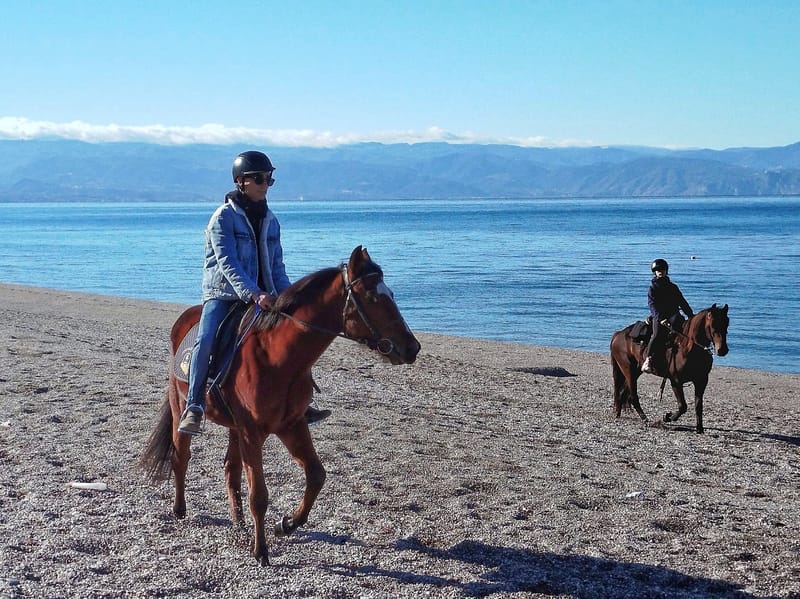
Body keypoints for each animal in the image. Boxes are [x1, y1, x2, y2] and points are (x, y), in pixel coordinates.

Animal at [140, 246, 421, 564]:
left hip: (235, 428)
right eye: (373, 298)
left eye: (392, 295)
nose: (412, 347)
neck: (278, 358)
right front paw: (261, 550)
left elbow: (316, 475)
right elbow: (259, 496)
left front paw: (287, 524)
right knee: (181, 457)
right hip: (181, 410)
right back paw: (180, 509)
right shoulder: (253, 433)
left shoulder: (292, 425)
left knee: (230, 469)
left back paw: (238, 521)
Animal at [610, 304, 729, 433]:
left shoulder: (701, 381)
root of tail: (618, 334)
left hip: (636, 371)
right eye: (712, 325)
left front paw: (699, 428)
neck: (686, 347)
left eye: (727, 323)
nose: (722, 350)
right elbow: (683, 406)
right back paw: (645, 419)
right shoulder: (675, 381)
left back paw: (618, 413)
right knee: (633, 396)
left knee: (622, 392)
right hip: (628, 370)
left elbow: (698, 405)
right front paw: (667, 417)